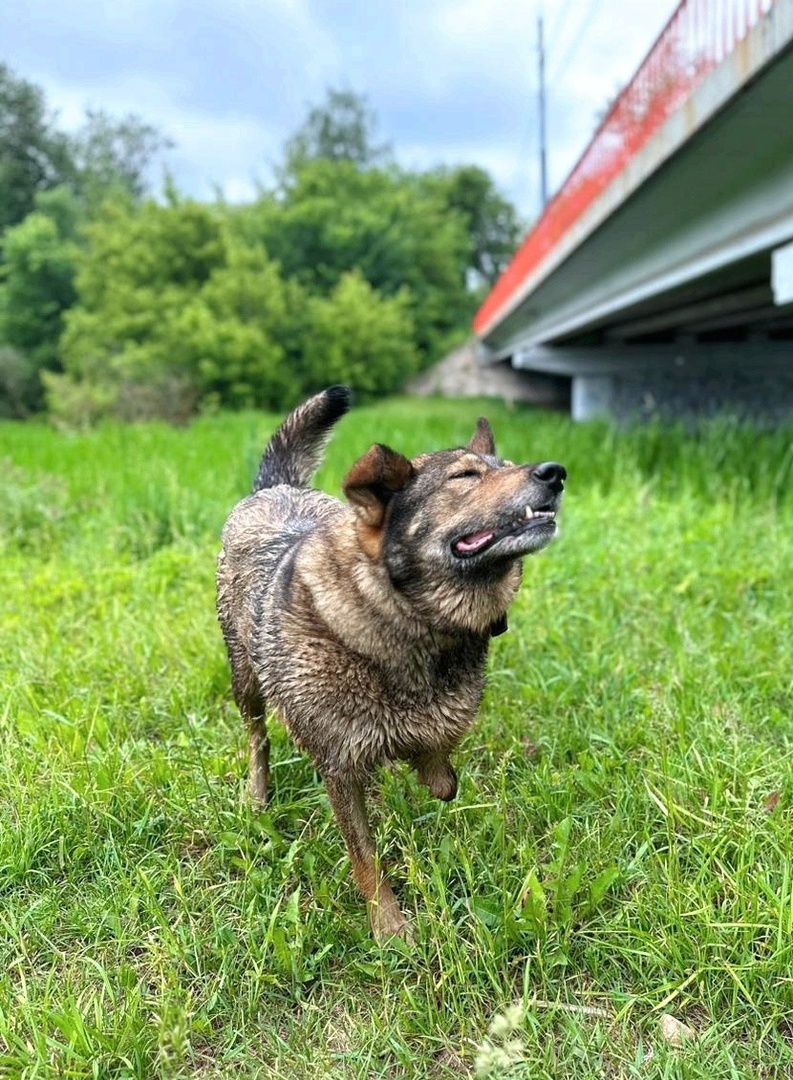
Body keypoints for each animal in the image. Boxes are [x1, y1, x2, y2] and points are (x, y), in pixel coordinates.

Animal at [217, 387, 565, 939]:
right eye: (464, 476)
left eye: (507, 465)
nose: (555, 472)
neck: (406, 619)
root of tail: (277, 488)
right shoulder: (337, 767)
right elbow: (365, 856)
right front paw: (388, 925)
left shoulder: (438, 719)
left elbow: (441, 772)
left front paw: (422, 767)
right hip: (244, 677)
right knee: (257, 738)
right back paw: (257, 793)